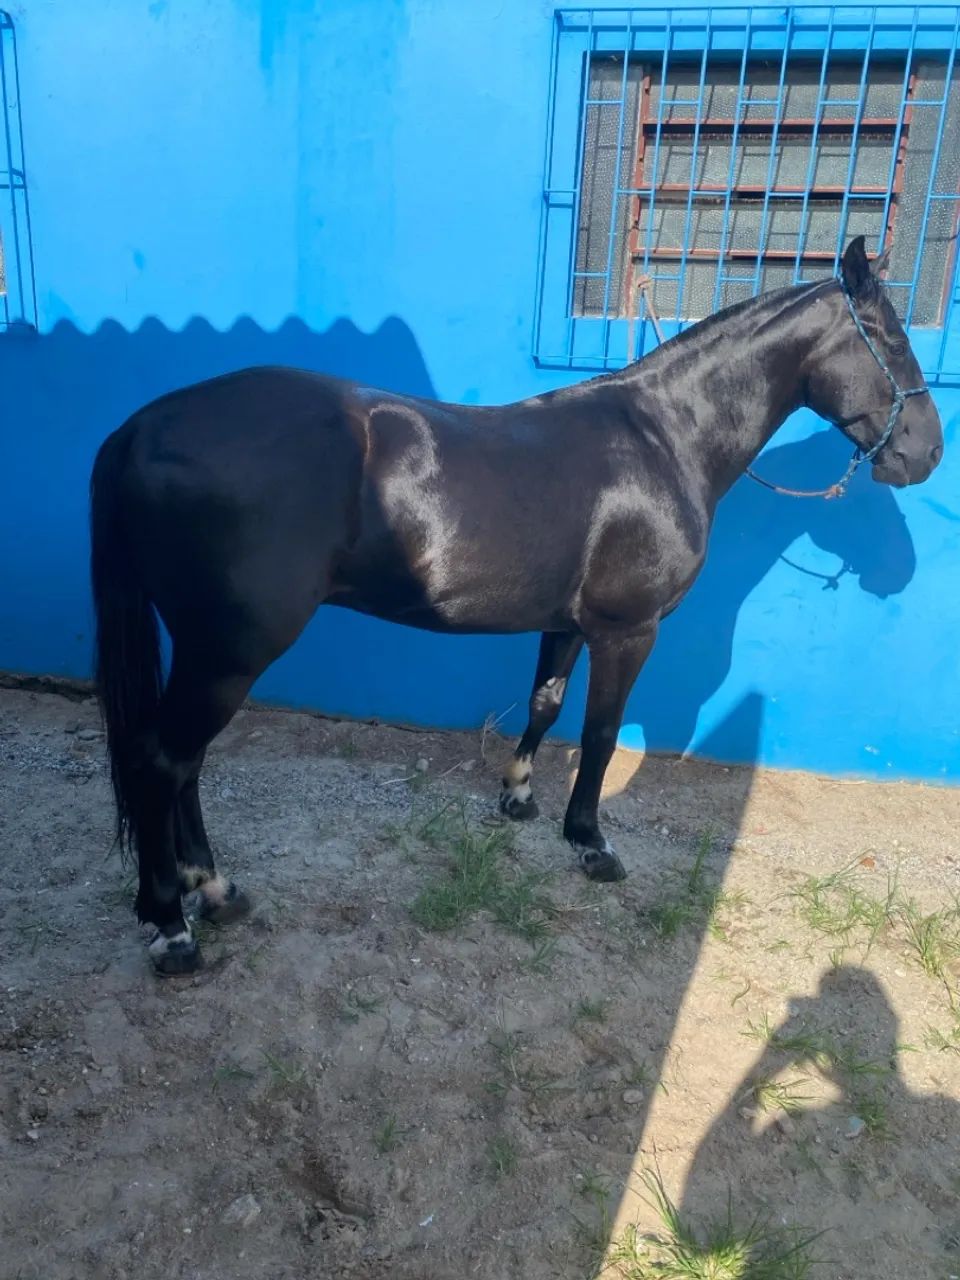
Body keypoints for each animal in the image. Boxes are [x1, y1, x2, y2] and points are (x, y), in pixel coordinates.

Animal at [89, 236, 943, 974]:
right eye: (887, 339)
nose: (926, 453)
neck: (664, 440)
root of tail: (141, 427)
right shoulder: (628, 631)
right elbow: (600, 734)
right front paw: (591, 842)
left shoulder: (566, 623)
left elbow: (545, 703)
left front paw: (519, 798)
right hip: (230, 651)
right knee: (163, 759)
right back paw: (172, 924)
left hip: (207, 649)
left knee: (183, 762)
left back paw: (214, 891)